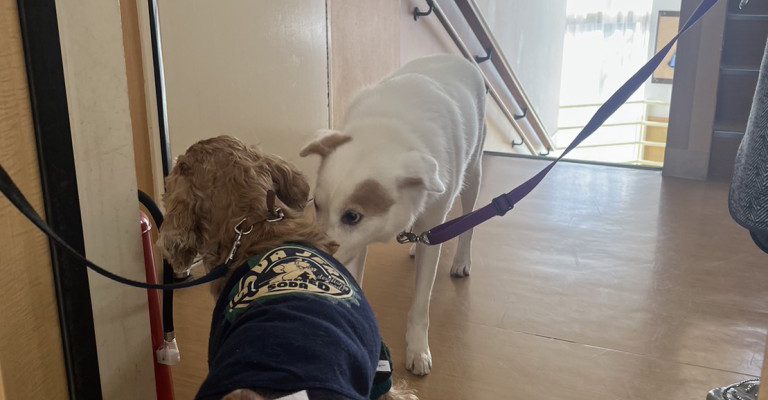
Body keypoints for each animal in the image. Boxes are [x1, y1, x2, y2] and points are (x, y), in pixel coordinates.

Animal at [300, 55, 486, 376]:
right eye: (316, 205)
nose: (316, 257)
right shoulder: (357, 245)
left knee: (468, 223)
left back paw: (462, 260)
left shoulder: (433, 220)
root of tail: (456, 57)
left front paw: (417, 349)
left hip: (473, 174)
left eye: (352, 216)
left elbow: (421, 302)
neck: (389, 131)